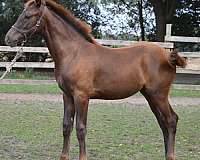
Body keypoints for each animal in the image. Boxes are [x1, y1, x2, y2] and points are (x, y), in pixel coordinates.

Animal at [4, 0, 186, 160]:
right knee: (163, 122)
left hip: (159, 95)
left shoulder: (81, 96)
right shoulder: (67, 95)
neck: (74, 53)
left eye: (27, 16)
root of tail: (168, 56)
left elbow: (80, 128)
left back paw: (170, 155)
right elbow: (66, 126)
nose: (8, 39)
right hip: (150, 96)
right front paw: (63, 156)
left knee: (171, 120)